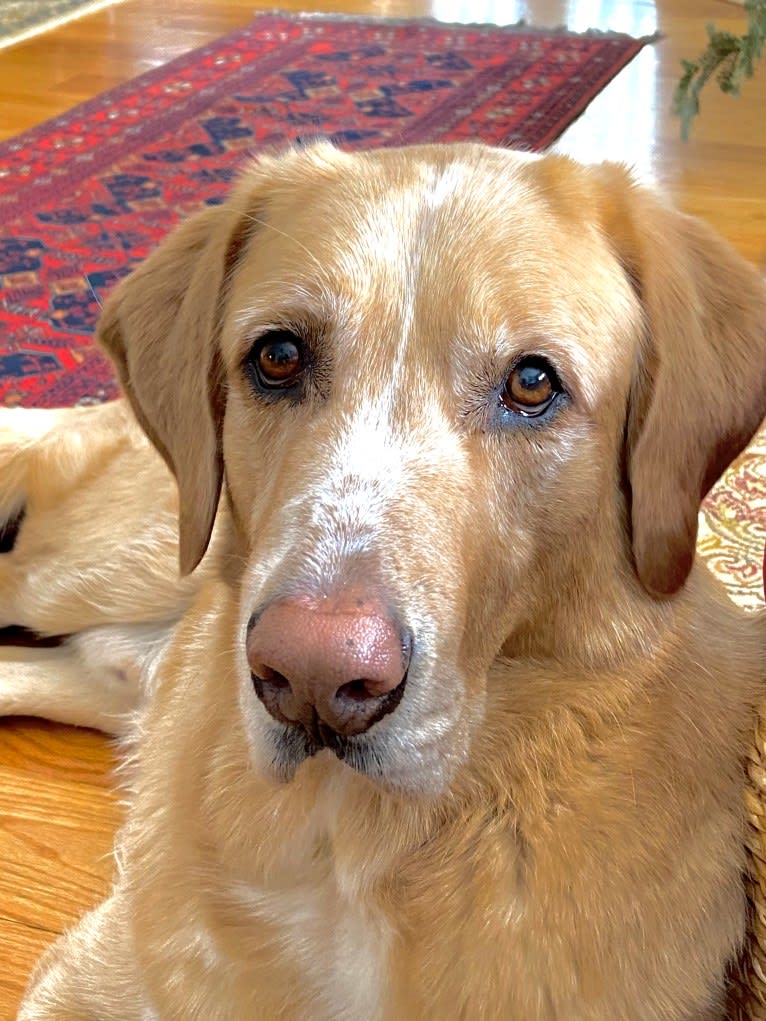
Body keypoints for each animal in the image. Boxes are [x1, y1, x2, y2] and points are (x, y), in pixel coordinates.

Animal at [1, 141, 766, 1012]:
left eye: (533, 382)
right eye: (278, 357)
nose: (312, 673)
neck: (353, 841)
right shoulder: (82, 980)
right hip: (91, 570)